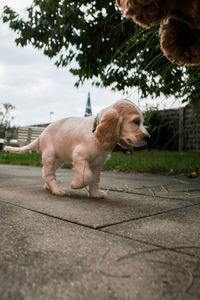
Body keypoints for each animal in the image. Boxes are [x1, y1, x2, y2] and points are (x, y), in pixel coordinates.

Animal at [4, 100, 148, 199]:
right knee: (48, 173)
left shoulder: (98, 164)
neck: (95, 131)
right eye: (136, 121)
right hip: (50, 155)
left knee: (46, 172)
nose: (148, 137)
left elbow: (95, 178)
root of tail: (41, 134)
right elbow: (87, 175)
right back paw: (57, 189)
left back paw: (49, 187)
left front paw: (95, 194)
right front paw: (75, 185)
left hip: (58, 159)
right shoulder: (79, 156)